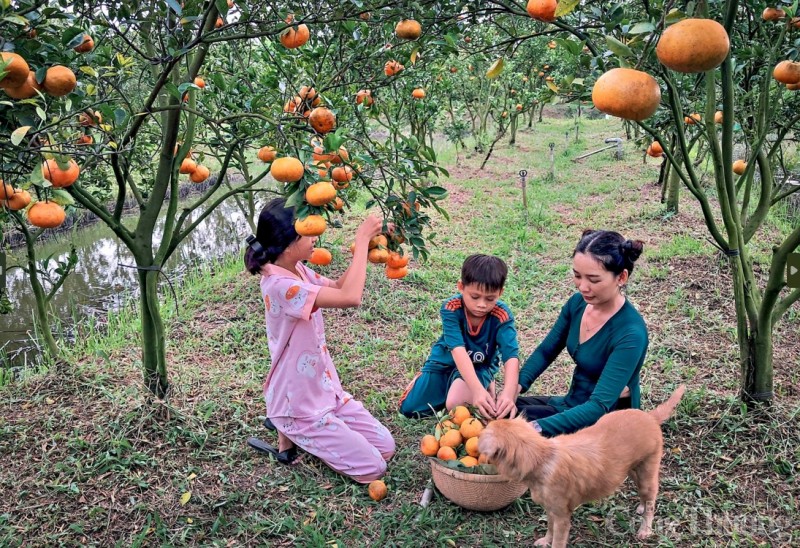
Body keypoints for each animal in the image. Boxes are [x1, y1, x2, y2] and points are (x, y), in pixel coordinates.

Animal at [478, 386, 684, 548]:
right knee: (645, 496)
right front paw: (545, 540)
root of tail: (650, 417)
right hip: (633, 470)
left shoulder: (562, 517)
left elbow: (558, 540)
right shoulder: (551, 510)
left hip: (647, 472)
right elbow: (550, 529)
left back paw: (645, 529)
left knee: (651, 500)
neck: (542, 457)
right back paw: (640, 507)